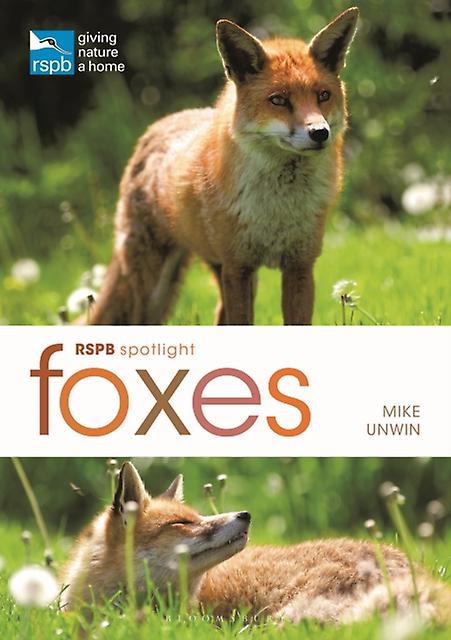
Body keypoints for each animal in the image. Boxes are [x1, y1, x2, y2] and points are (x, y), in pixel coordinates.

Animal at [89, 8, 360, 326]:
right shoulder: (238, 267)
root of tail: (156, 127)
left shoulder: (299, 266)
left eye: (323, 96)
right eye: (279, 100)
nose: (320, 133)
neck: (277, 208)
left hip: (220, 274)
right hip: (155, 287)